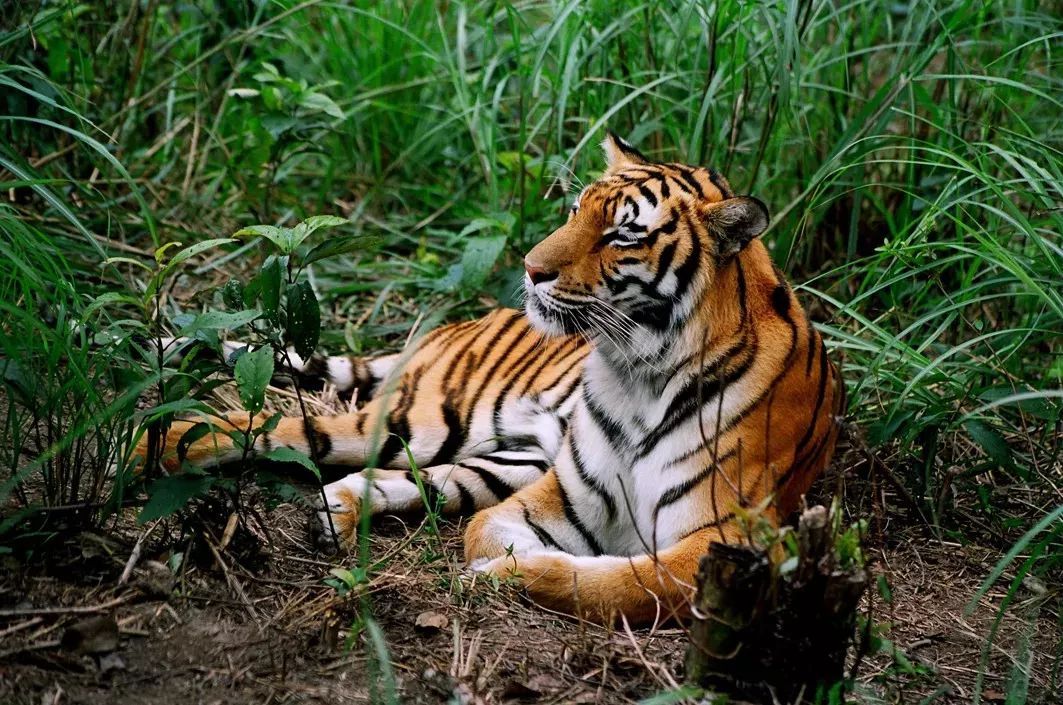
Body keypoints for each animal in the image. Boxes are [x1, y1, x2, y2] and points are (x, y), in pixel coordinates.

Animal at [147, 132, 846, 625]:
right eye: (575, 209)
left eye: (622, 234)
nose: (532, 270)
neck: (638, 373)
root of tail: (460, 324)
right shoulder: (562, 495)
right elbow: (490, 534)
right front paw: (502, 566)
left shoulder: (729, 539)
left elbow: (617, 583)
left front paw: (513, 576)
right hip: (427, 418)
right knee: (273, 427)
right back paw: (151, 450)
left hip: (501, 452)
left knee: (415, 477)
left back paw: (335, 509)